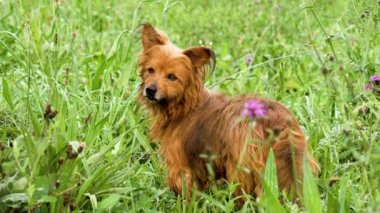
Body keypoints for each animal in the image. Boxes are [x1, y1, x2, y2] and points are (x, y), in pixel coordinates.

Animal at [137, 23, 318, 203]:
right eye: (150, 70)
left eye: (172, 77)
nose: (150, 90)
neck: (185, 107)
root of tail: (276, 118)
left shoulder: (180, 165)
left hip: (241, 168)